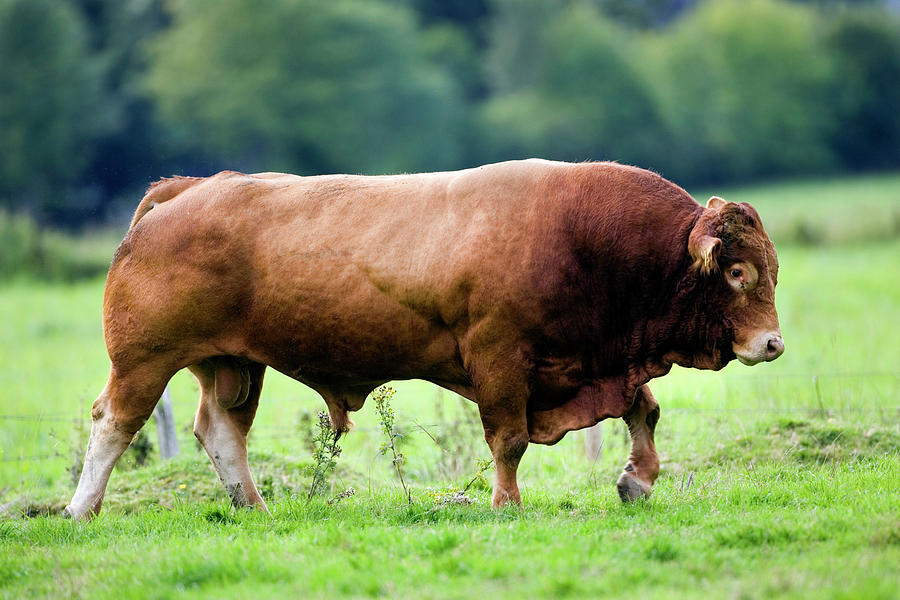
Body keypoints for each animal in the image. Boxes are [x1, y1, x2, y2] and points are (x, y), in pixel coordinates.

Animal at [65, 159, 780, 520]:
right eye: (737, 273)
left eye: (769, 269)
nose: (772, 343)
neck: (584, 237)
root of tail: (186, 189)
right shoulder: (501, 361)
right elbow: (510, 439)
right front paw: (506, 503)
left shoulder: (599, 362)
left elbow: (643, 411)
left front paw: (638, 479)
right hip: (143, 361)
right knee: (113, 423)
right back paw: (79, 509)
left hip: (232, 365)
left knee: (220, 431)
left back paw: (254, 507)